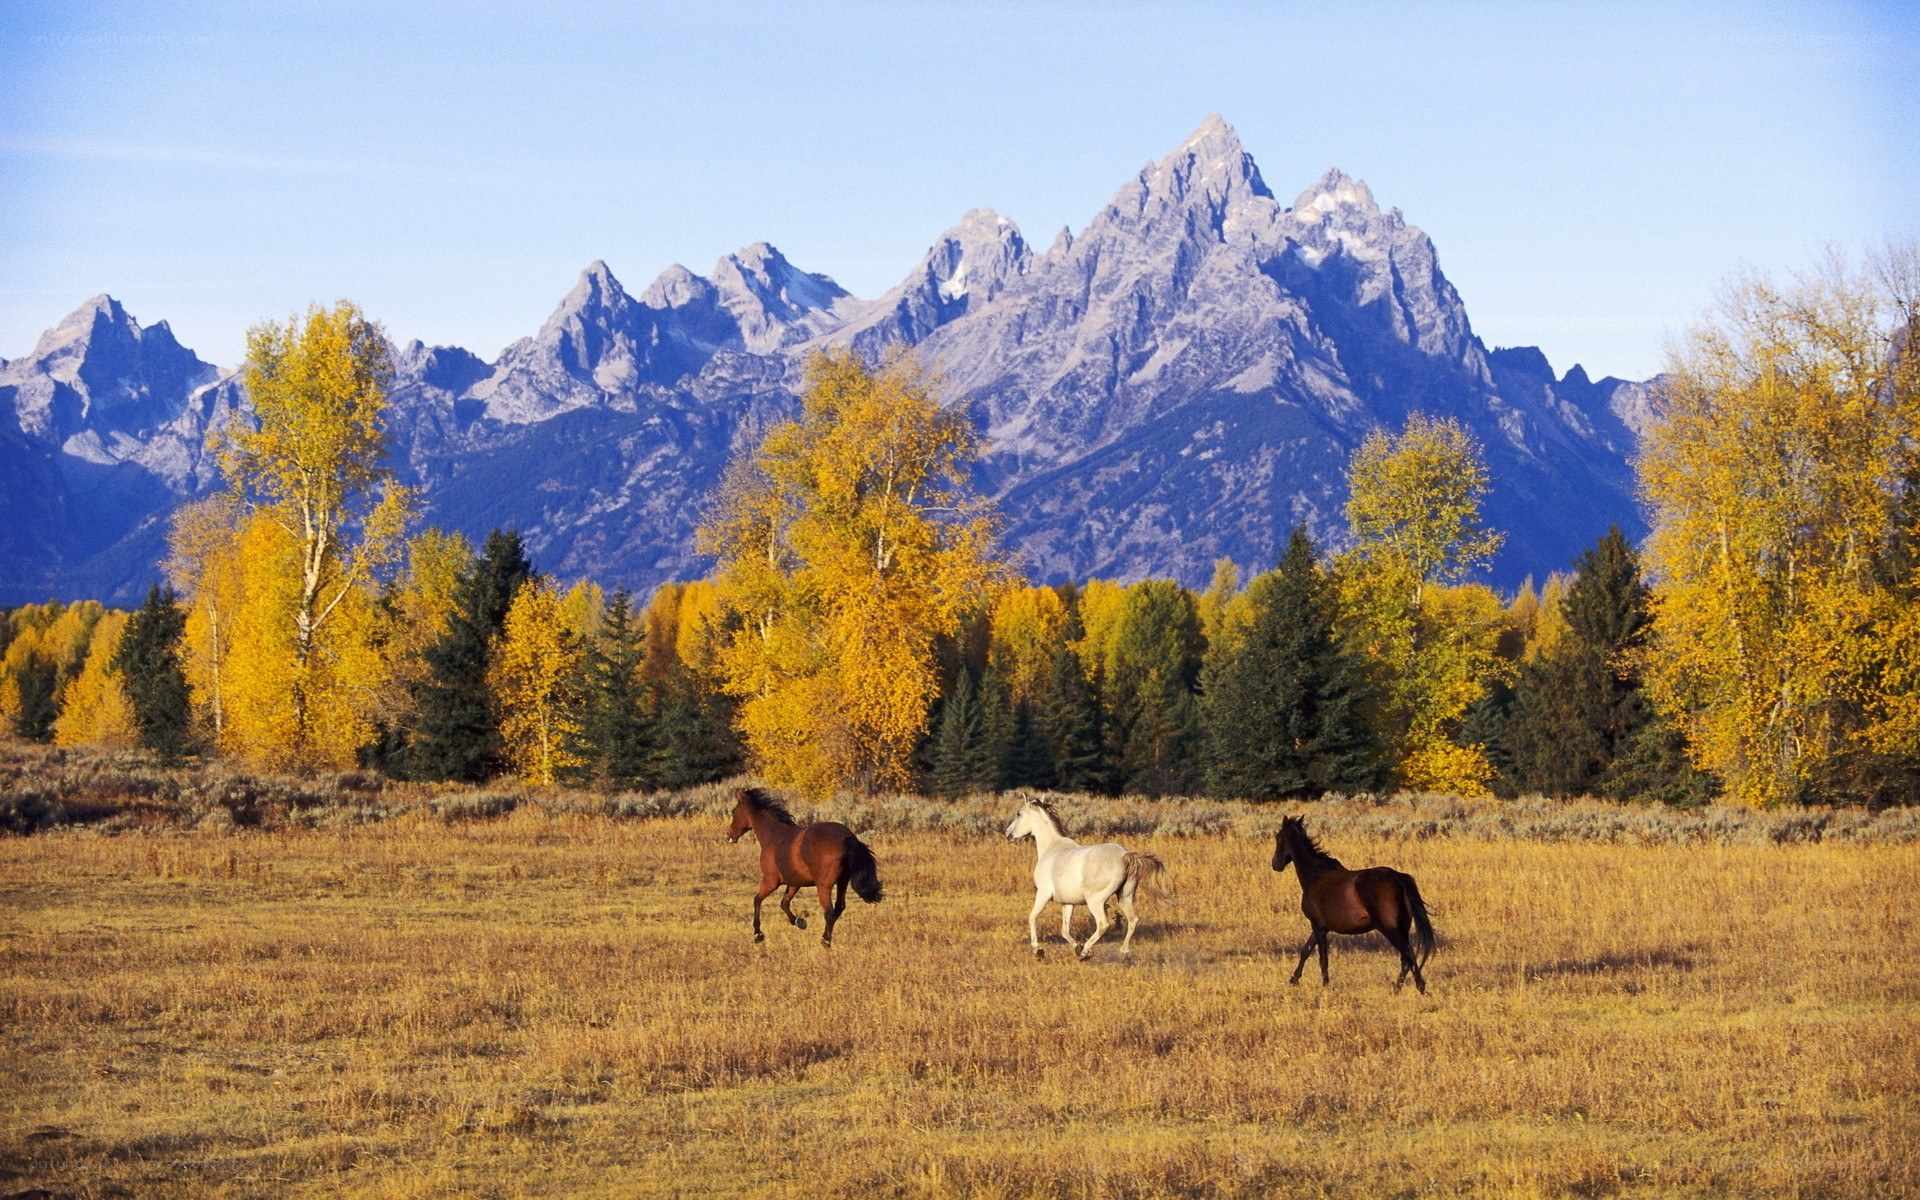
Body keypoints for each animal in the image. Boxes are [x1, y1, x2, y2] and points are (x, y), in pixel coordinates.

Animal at [726, 787, 882, 946]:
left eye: (734, 812)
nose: (729, 835)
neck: (773, 836)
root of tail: (848, 837)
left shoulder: (770, 881)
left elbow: (757, 900)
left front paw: (758, 934)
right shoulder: (794, 883)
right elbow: (784, 903)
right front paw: (800, 922)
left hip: (823, 886)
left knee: (829, 912)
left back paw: (825, 941)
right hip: (842, 882)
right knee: (839, 907)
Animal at [1004, 798, 1164, 960]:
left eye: (1018, 814)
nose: (1007, 833)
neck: (1052, 848)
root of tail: (1124, 855)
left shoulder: (1043, 894)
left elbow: (1032, 917)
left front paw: (1038, 950)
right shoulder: (1067, 903)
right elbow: (1065, 930)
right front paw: (1076, 946)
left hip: (1095, 901)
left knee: (1103, 924)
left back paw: (1085, 952)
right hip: (1125, 897)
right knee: (1133, 919)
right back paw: (1123, 951)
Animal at [1271, 815, 1434, 992]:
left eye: (1279, 837)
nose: (1275, 864)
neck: (1316, 875)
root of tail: (1399, 878)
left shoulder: (1317, 925)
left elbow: (1322, 958)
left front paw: (1325, 985)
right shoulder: (1321, 926)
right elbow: (1306, 950)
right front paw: (1293, 979)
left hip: (1389, 929)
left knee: (1408, 953)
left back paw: (1420, 987)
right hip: (1403, 927)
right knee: (1405, 959)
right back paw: (1396, 989)